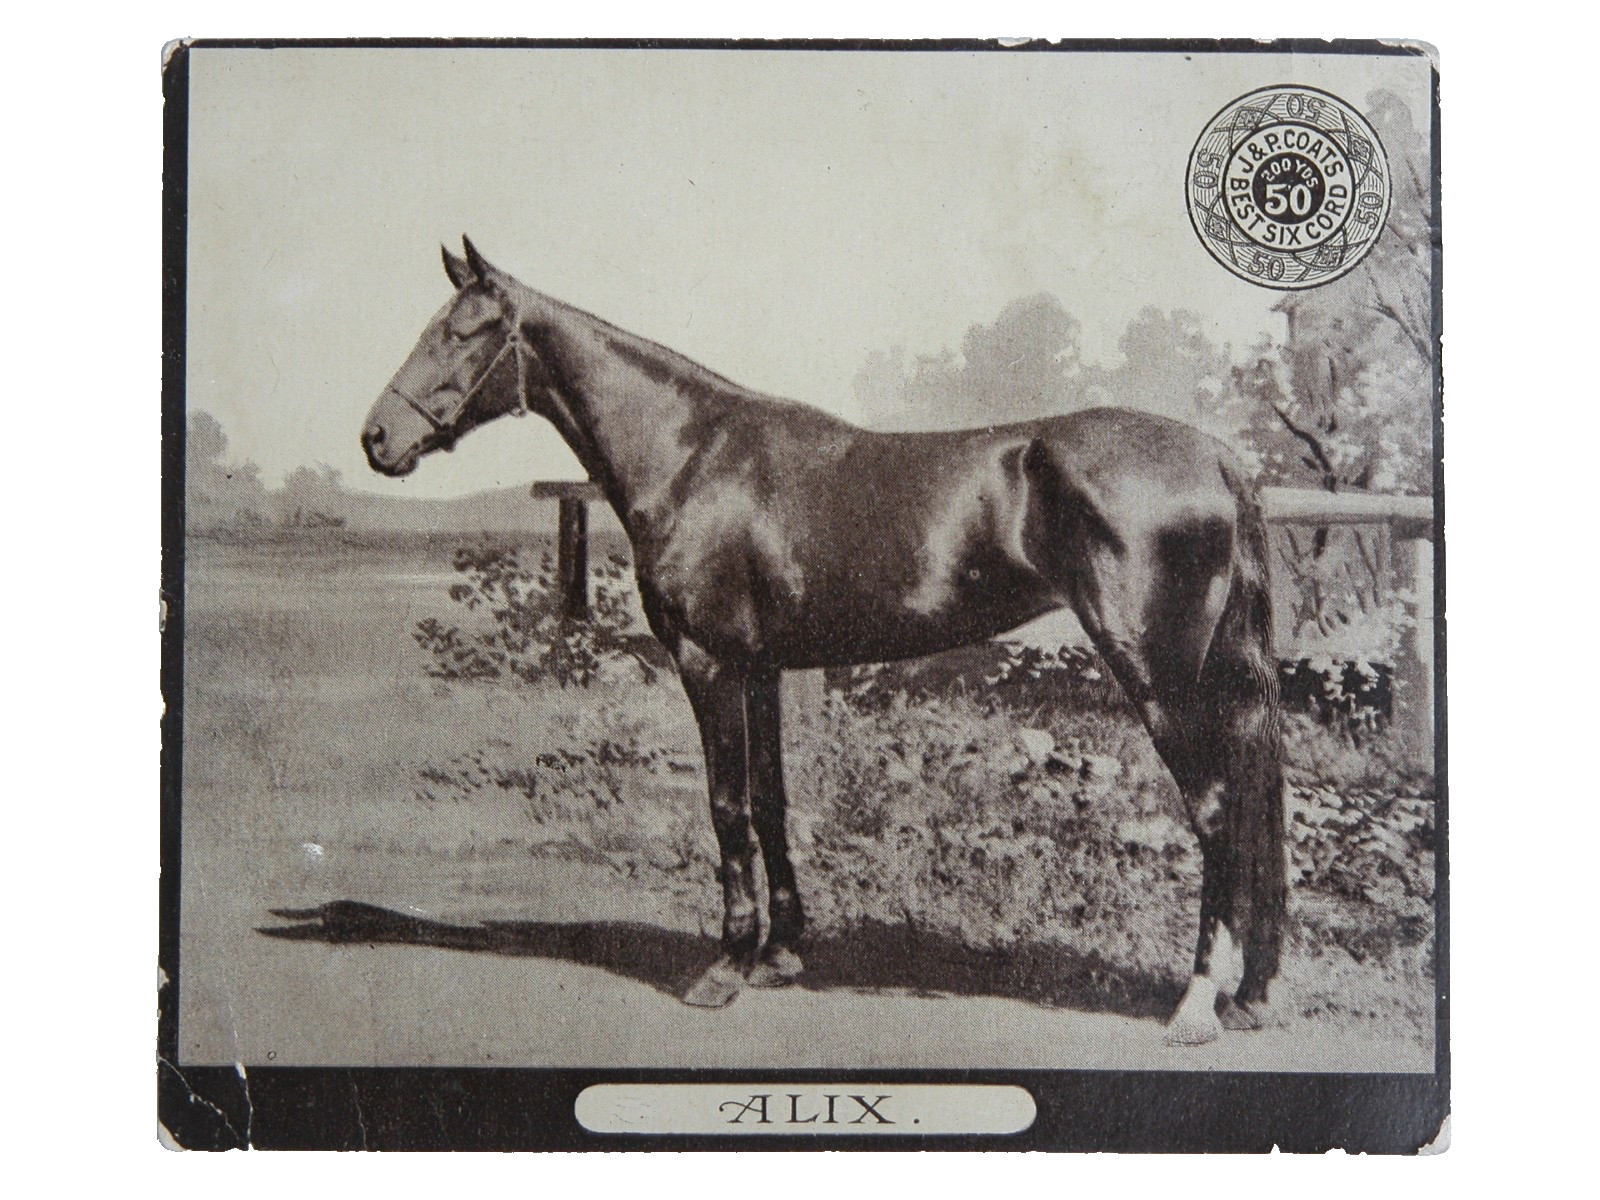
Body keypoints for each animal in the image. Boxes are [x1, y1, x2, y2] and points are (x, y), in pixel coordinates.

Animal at [361, 237, 1287, 1046]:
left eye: (462, 331)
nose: (376, 439)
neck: (694, 455)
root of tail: (1217, 458)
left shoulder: (708, 663)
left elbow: (727, 806)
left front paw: (726, 965)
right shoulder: (764, 668)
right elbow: (772, 801)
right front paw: (781, 952)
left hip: (1160, 677)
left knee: (1214, 807)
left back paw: (1197, 1005)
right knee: (1249, 799)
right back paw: (1249, 994)